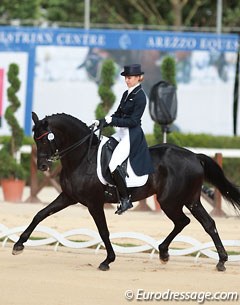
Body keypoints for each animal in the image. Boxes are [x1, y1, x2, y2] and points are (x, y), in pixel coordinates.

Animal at [12, 112, 240, 270]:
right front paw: (19, 244)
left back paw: (166, 253)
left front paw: (108, 260)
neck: (81, 158)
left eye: (45, 138)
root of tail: (193, 156)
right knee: (208, 224)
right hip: (190, 199)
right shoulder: (68, 197)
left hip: (169, 201)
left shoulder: (94, 203)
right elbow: (40, 214)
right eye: (35, 139)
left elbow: (103, 231)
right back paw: (219, 260)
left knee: (183, 221)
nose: (42, 166)